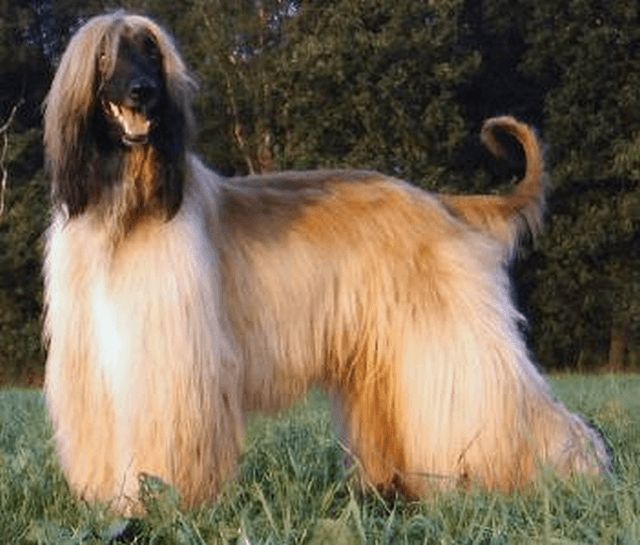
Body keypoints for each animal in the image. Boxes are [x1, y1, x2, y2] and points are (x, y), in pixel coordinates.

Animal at [42, 12, 610, 512]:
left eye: (152, 51)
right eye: (105, 55)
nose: (144, 92)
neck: (124, 211)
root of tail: (443, 203)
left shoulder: (171, 358)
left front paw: (159, 507)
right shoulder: (94, 364)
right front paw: (112, 506)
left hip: (450, 339)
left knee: (513, 407)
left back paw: (574, 476)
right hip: (387, 355)